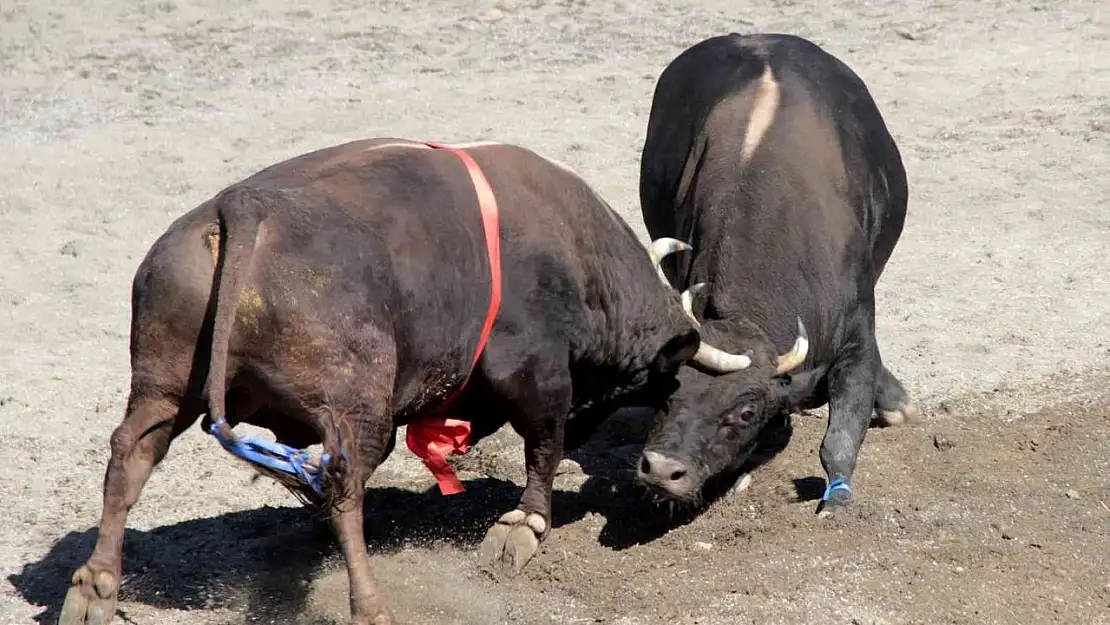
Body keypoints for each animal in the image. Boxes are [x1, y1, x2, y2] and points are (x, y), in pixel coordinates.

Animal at [634, 31, 919, 512]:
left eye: (745, 412)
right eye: (668, 388)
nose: (660, 469)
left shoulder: (858, 333)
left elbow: (841, 435)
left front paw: (836, 505)